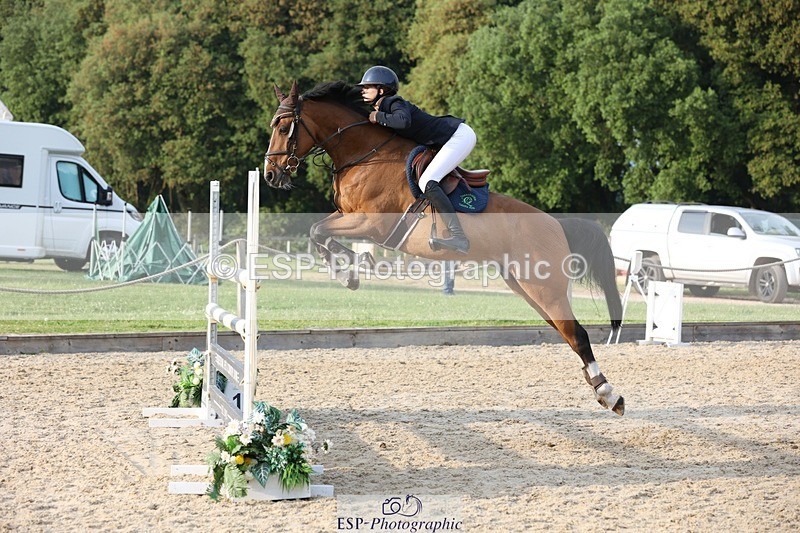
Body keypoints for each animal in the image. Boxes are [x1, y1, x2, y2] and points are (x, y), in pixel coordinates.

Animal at [264, 80, 625, 416]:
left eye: (283, 128)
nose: (270, 175)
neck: (364, 154)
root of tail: (557, 224)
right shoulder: (348, 216)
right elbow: (318, 233)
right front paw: (351, 270)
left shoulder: (373, 224)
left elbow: (318, 231)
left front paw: (352, 270)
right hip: (528, 288)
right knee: (567, 333)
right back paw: (600, 389)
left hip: (545, 287)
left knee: (577, 334)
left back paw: (610, 394)